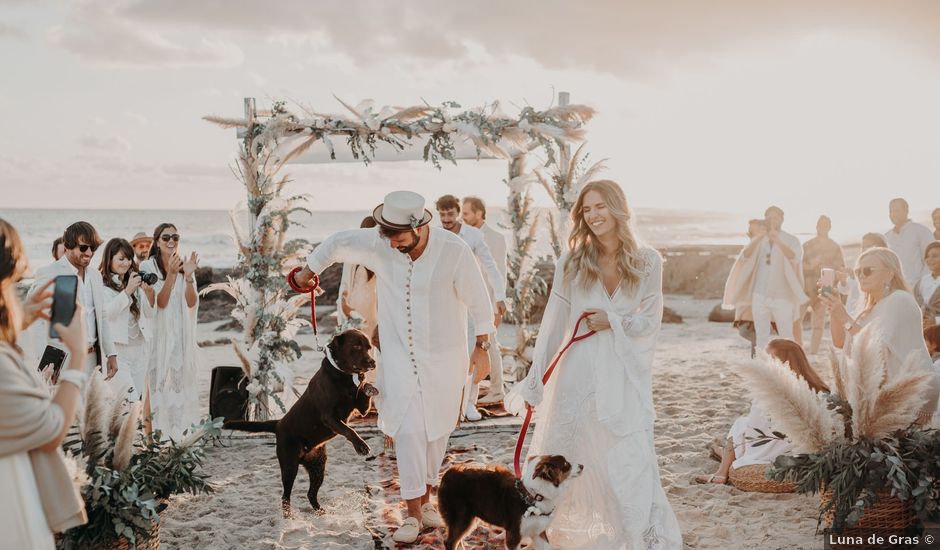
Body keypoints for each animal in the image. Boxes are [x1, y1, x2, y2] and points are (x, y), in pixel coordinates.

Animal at [226, 332, 376, 516]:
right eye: (356, 346)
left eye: (369, 347)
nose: (372, 362)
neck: (344, 376)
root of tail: (278, 424)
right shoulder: (329, 417)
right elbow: (349, 430)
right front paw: (361, 446)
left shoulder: (361, 408)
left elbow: (364, 396)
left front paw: (368, 386)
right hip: (289, 466)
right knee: (285, 496)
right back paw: (288, 517)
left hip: (318, 466)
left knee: (310, 493)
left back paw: (320, 512)